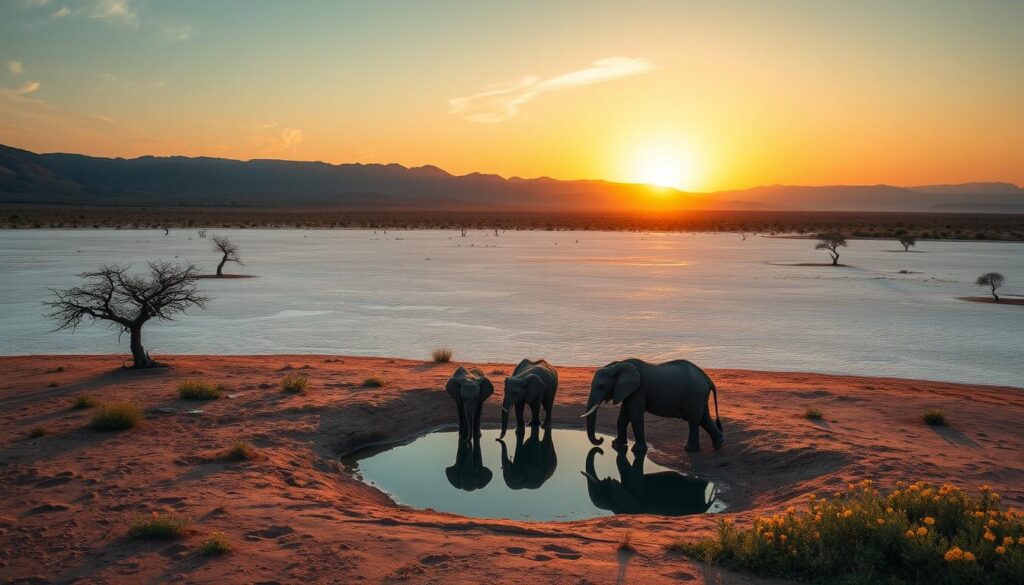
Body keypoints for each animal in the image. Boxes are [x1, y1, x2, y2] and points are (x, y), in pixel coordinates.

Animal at [581, 358, 724, 454]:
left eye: (601, 387)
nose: (600, 439)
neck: (618, 365)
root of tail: (707, 378)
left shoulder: (638, 390)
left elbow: (635, 415)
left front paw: (637, 451)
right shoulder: (628, 391)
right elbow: (623, 417)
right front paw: (617, 444)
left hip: (694, 394)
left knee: (694, 420)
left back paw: (689, 449)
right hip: (699, 395)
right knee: (704, 419)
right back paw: (719, 444)